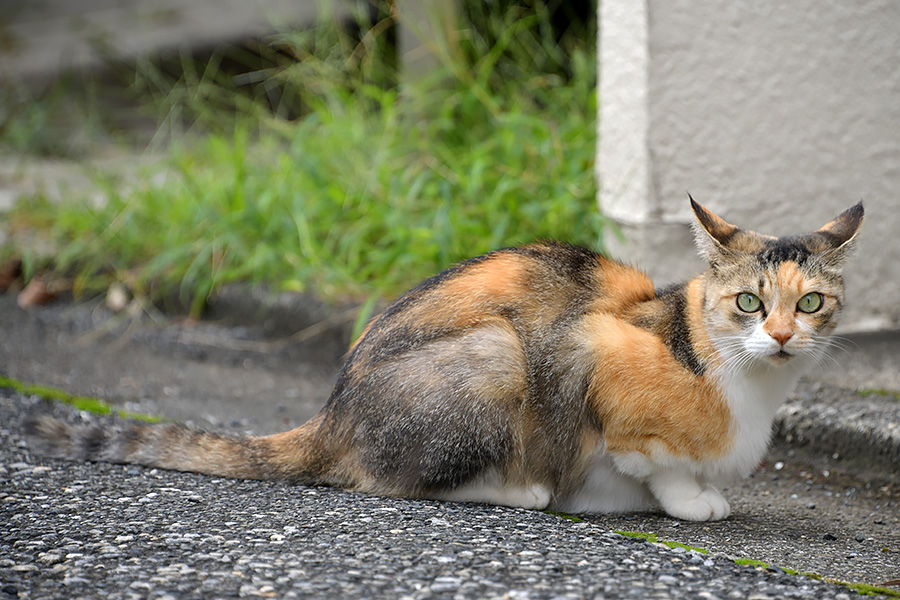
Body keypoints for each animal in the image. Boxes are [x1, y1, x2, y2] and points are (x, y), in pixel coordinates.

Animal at [24, 198, 860, 520]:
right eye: (748, 303)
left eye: (809, 304)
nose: (781, 336)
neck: (748, 388)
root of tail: (330, 414)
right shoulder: (593, 349)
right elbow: (656, 462)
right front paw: (691, 499)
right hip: (497, 351)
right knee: (397, 479)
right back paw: (521, 491)